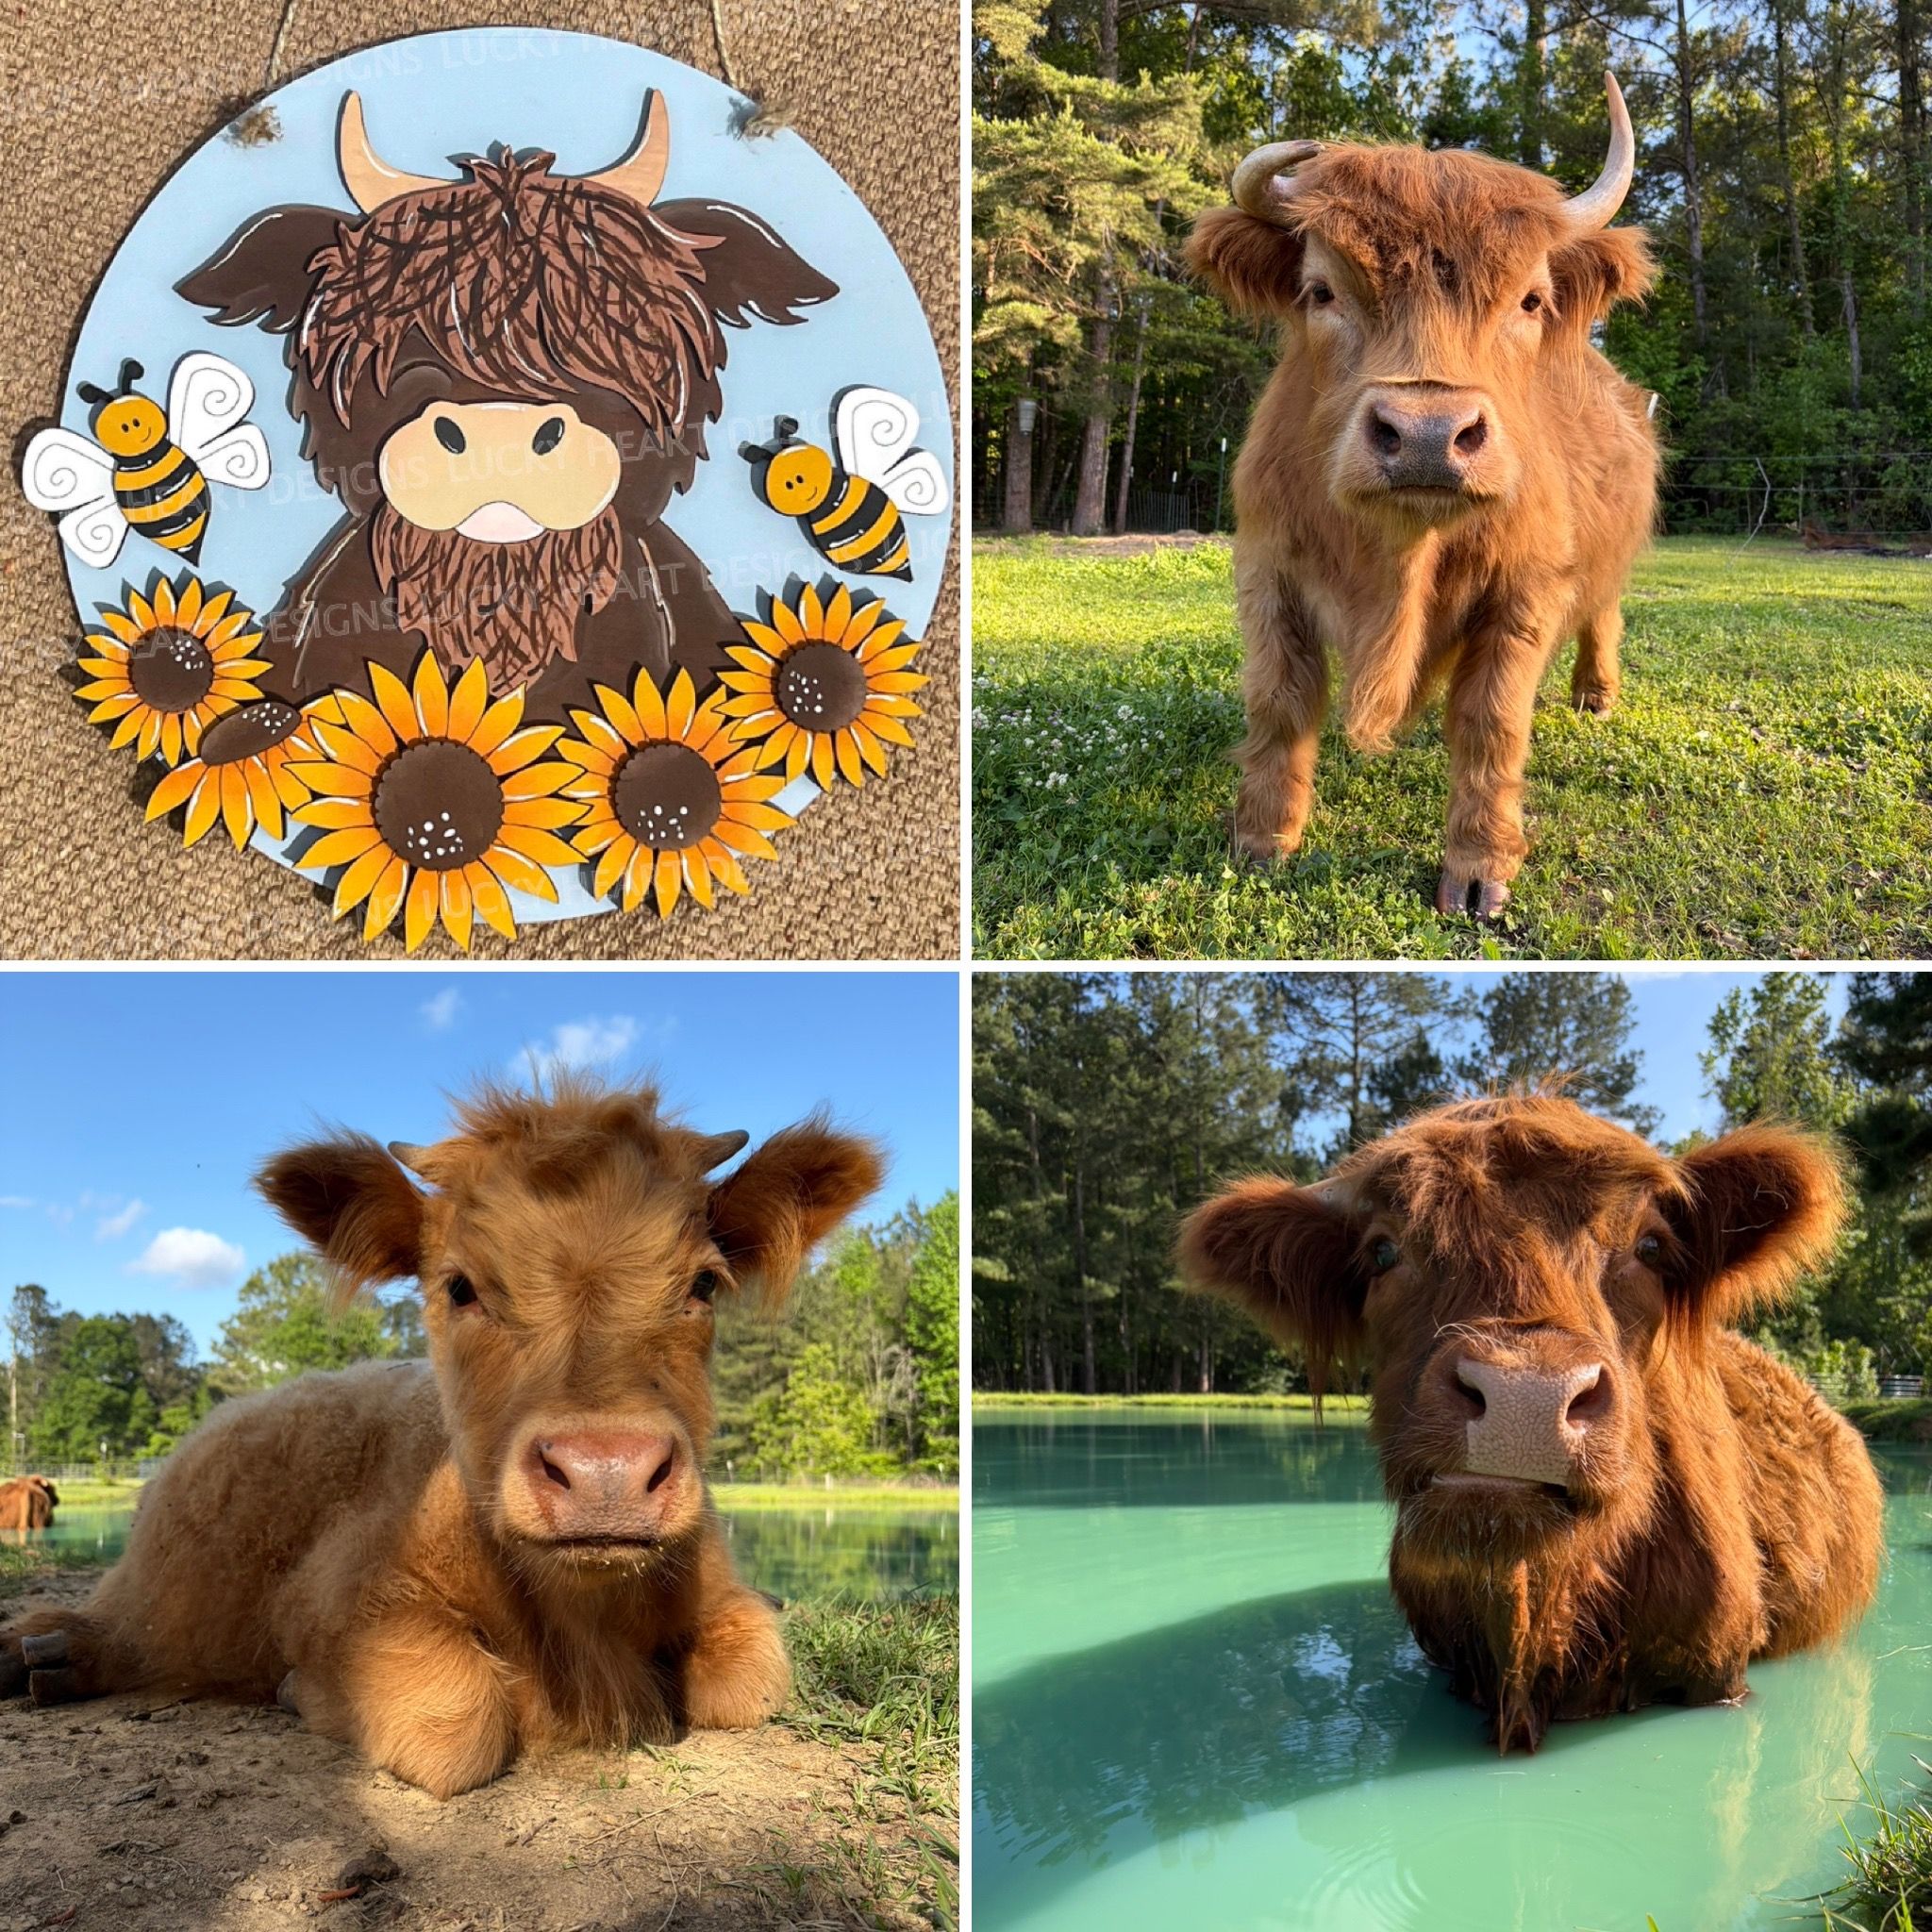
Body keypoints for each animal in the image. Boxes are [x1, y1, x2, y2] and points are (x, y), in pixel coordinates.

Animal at [0, 1080, 881, 1798]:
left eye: (702, 1283)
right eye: (460, 1287)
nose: (605, 1471)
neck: (581, 1624)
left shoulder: (730, 1599)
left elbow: (750, 1679)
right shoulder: (336, 1601)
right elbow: (458, 1717)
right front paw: (300, 1692)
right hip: (156, 1589)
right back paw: (42, 1650)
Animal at [1185, 73, 1659, 917]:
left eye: (1530, 301)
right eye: (1320, 291)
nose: (1429, 435)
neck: (1399, 559)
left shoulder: (1528, 588)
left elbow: (1490, 721)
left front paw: (1479, 871)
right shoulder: (1268, 570)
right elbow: (1280, 702)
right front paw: (1263, 840)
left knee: (1605, 614)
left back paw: (1596, 696)